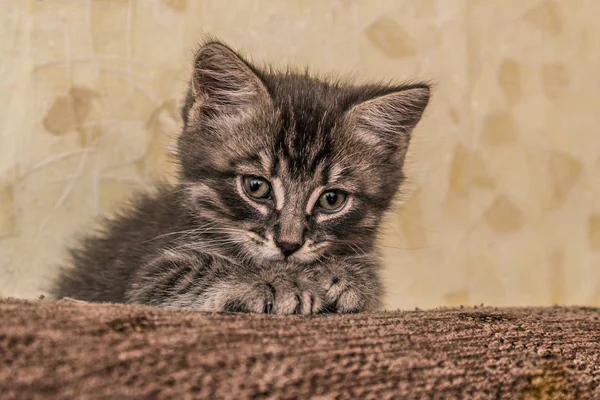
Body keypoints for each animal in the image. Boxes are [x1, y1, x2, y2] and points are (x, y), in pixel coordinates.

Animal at [50, 41, 426, 316]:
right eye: (256, 187)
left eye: (331, 199)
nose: (288, 244)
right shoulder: (147, 281)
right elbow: (199, 272)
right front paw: (279, 282)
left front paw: (346, 275)